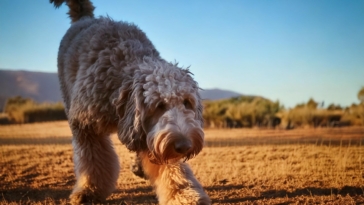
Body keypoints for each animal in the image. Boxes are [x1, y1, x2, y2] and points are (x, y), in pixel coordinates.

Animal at [50, 0, 210, 204]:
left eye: (187, 102)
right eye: (159, 105)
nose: (184, 146)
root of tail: (85, 18)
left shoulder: (154, 136)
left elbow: (171, 168)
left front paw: (183, 195)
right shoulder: (85, 125)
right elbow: (93, 163)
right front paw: (89, 191)